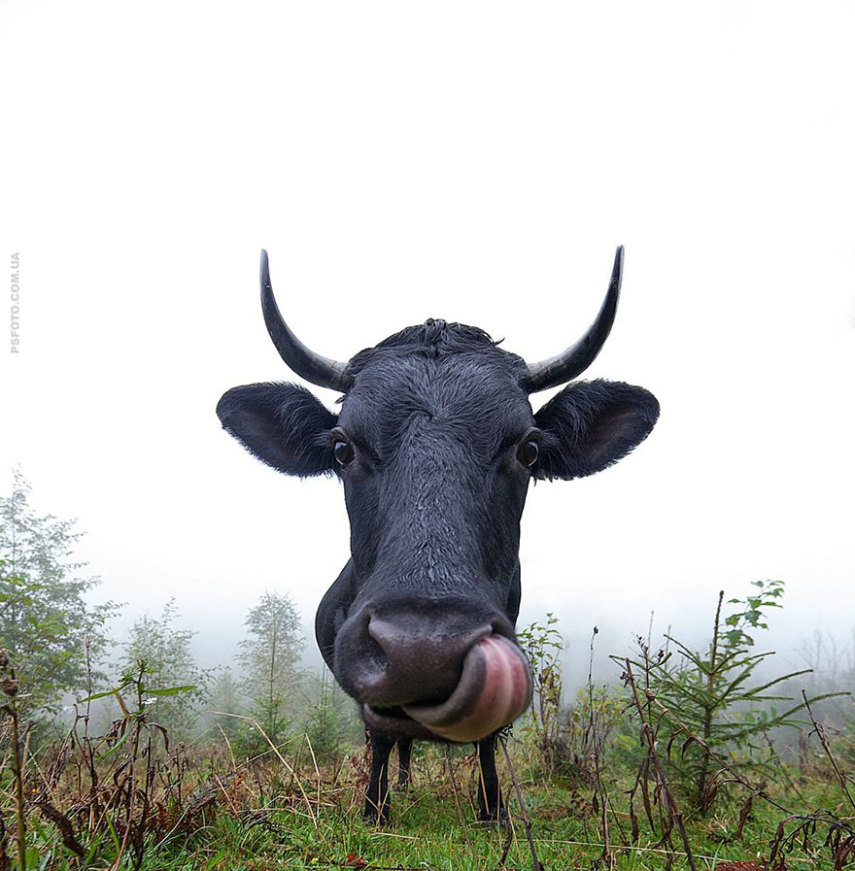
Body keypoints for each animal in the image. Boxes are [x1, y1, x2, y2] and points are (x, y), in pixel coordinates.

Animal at [217, 247, 660, 824]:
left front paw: (493, 809)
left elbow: (489, 735)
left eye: (529, 449)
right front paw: (375, 809)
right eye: (341, 448)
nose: (423, 650)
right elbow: (380, 733)